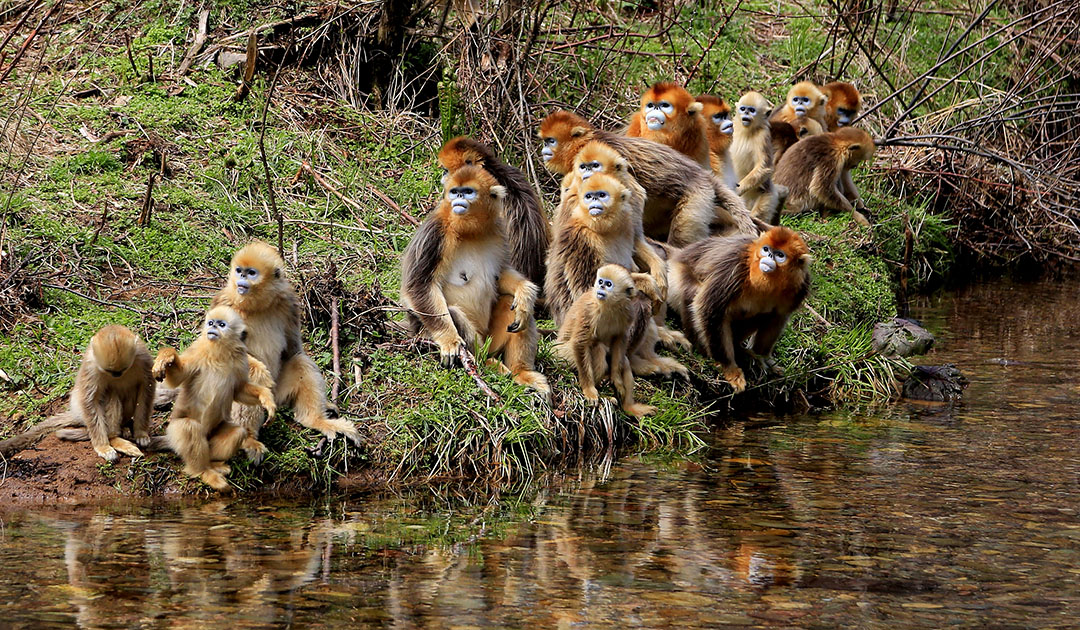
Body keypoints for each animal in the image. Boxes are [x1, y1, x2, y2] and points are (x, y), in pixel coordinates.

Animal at [153, 304, 278, 492]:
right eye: (211, 323)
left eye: (222, 324)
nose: (212, 328)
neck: (220, 353)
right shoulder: (197, 351)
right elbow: (177, 378)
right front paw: (167, 356)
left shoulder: (240, 361)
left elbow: (238, 390)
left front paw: (266, 398)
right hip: (176, 433)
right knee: (189, 427)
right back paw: (204, 472)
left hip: (212, 436)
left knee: (238, 432)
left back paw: (214, 464)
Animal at [401, 165, 548, 397]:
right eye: (455, 192)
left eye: (468, 191)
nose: (459, 199)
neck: (469, 231)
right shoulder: (434, 234)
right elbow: (418, 285)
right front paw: (449, 341)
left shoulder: (499, 230)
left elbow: (501, 273)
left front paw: (525, 291)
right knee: (453, 313)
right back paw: (484, 362)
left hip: (492, 339)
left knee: (513, 305)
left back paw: (522, 373)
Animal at [557, 264, 656, 419]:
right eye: (600, 281)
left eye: (608, 284)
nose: (601, 287)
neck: (609, 306)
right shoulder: (588, 310)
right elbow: (580, 343)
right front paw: (589, 390)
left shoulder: (628, 312)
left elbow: (619, 340)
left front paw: (616, 380)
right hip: (563, 355)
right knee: (598, 348)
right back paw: (603, 393)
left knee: (623, 360)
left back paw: (629, 408)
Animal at [665, 226, 812, 393]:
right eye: (766, 249)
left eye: (780, 255)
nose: (768, 256)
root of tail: (677, 255)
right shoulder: (734, 267)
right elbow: (710, 309)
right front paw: (729, 369)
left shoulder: (800, 285)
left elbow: (777, 318)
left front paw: (763, 358)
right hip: (674, 278)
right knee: (693, 292)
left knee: (763, 314)